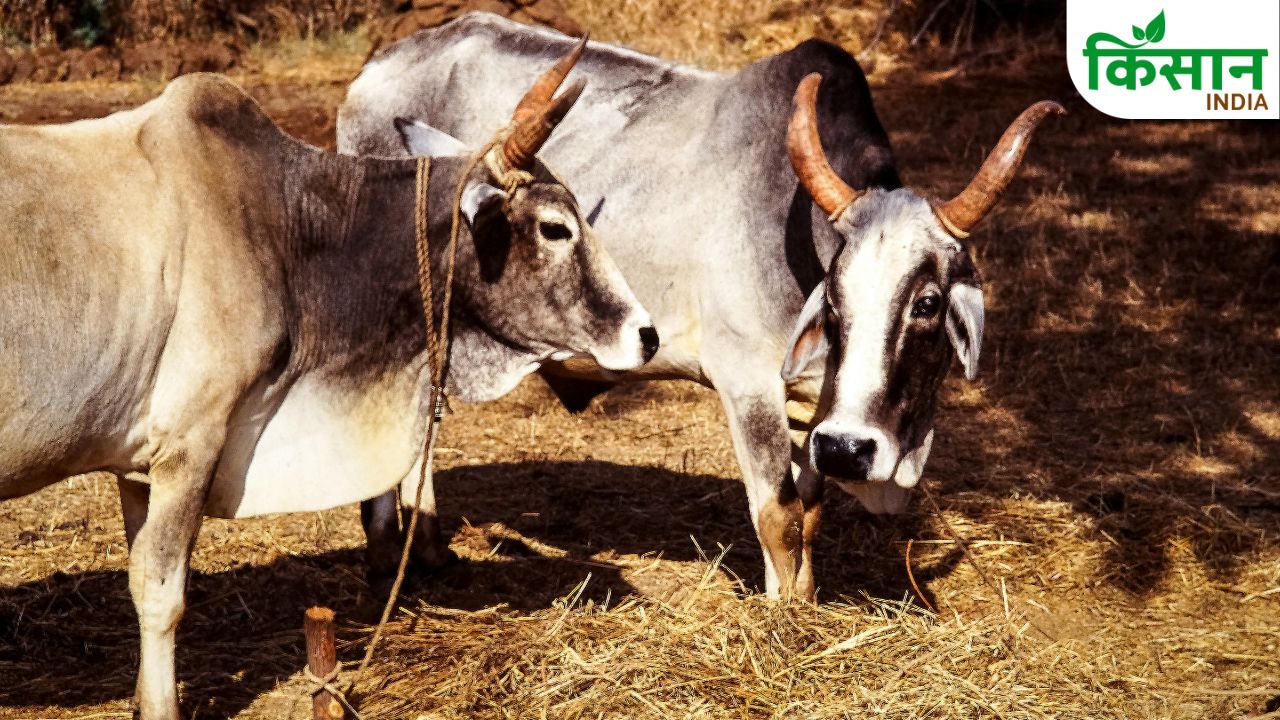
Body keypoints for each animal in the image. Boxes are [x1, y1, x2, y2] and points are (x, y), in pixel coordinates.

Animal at [0, 47, 654, 720]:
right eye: (555, 228)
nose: (646, 334)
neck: (287, 229)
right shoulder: (191, 442)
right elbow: (161, 591)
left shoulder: (138, 463)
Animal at [336, 13, 1061, 602]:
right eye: (836, 296)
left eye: (928, 303)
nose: (853, 448)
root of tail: (375, 69)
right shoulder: (746, 382)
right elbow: (778, 515)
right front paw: (783, 620)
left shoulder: (813, 411)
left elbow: (810, 512)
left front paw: (804, 601)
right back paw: (388, 557)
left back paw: (425, 552)